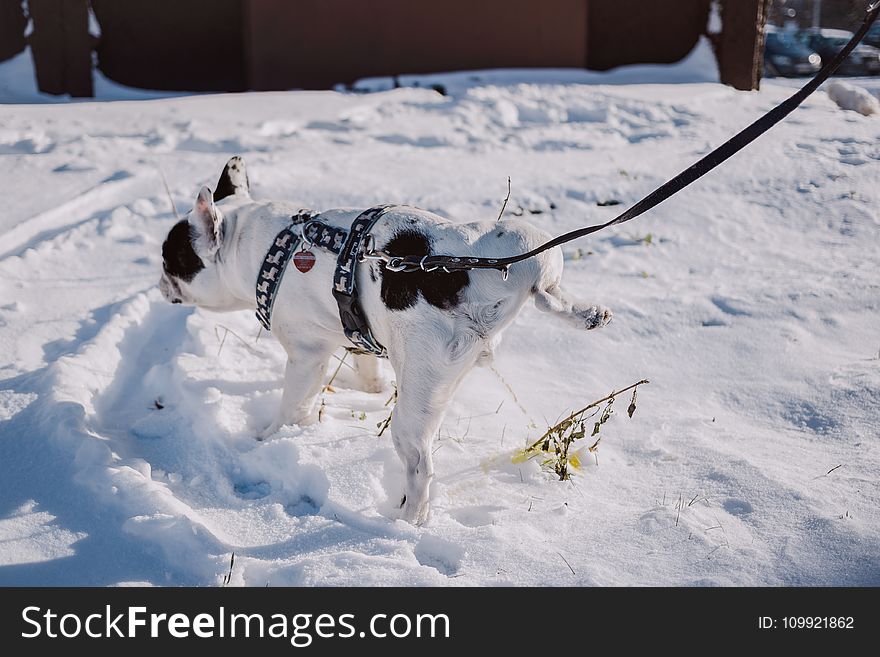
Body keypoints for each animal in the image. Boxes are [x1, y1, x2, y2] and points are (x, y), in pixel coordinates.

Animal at [160, 158, 612, 524]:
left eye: (171, 261)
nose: (160, 281)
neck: (261, 244)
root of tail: (471, 278)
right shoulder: (357, 329)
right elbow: (366, 366)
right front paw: (366, 386)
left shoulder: (306, 355)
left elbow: (293, 406)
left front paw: (268, 436)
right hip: (528, 243)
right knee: (549, 291)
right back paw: (588, 314)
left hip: (418, 388)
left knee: (420, 464)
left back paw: (406, 520)